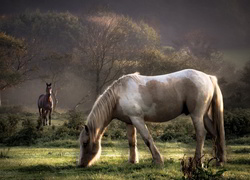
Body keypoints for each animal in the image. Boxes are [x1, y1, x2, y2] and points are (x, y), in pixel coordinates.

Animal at [78, 69, 227, 167]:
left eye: (85, 143)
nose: (81, 165)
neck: (119, 95)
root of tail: (208, 77)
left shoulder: (137, 119)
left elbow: (147, 139)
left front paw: (158, 160)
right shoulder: (129, 122)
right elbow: (132, 142)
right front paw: (132, 161)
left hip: (196, 115)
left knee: (201, 134)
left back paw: (198, 162)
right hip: (204, 116)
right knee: (214, 134)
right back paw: (218, 161)